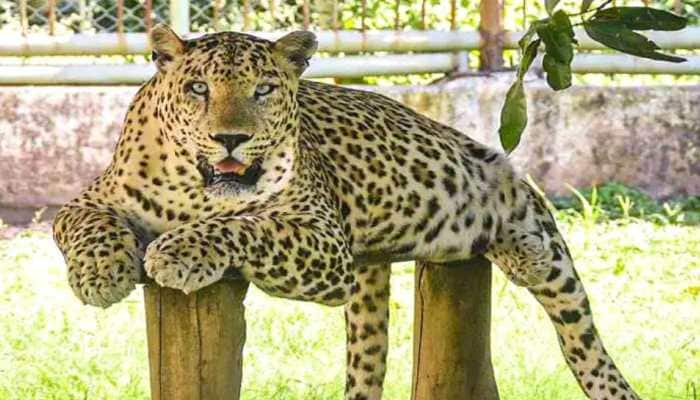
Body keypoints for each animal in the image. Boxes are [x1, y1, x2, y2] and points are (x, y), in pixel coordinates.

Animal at [53, 24, 642, 400]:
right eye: (198, 88)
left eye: (263, 90)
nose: (230, 139)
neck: (196, 189)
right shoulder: (87, 200)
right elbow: (87, 224)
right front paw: (101, 272)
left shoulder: (322, 240)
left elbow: (242, 224)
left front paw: (177, 252)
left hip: (515, 197)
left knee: (580, 335)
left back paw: (529, 258)